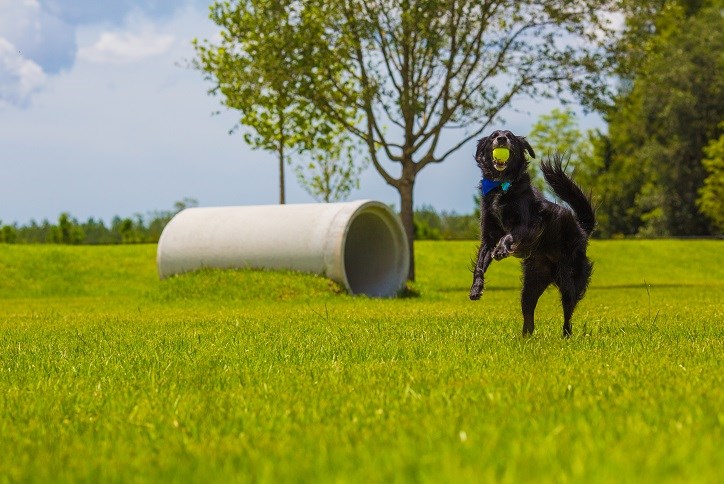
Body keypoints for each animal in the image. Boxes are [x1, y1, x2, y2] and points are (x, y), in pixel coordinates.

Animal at [470, 127, 592, 336]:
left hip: (569, 280)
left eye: (510, 137)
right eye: (494, 136)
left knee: (568, 312)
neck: (503, 185)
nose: (501, 139)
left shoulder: (529, 225)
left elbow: (509, 235)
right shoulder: (488, 236)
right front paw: (476, 289)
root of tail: (582, 229)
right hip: (531, 284)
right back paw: (524, 338)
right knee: (529, 316)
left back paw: (566, 336)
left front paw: (501, 250)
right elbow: (480, 264)